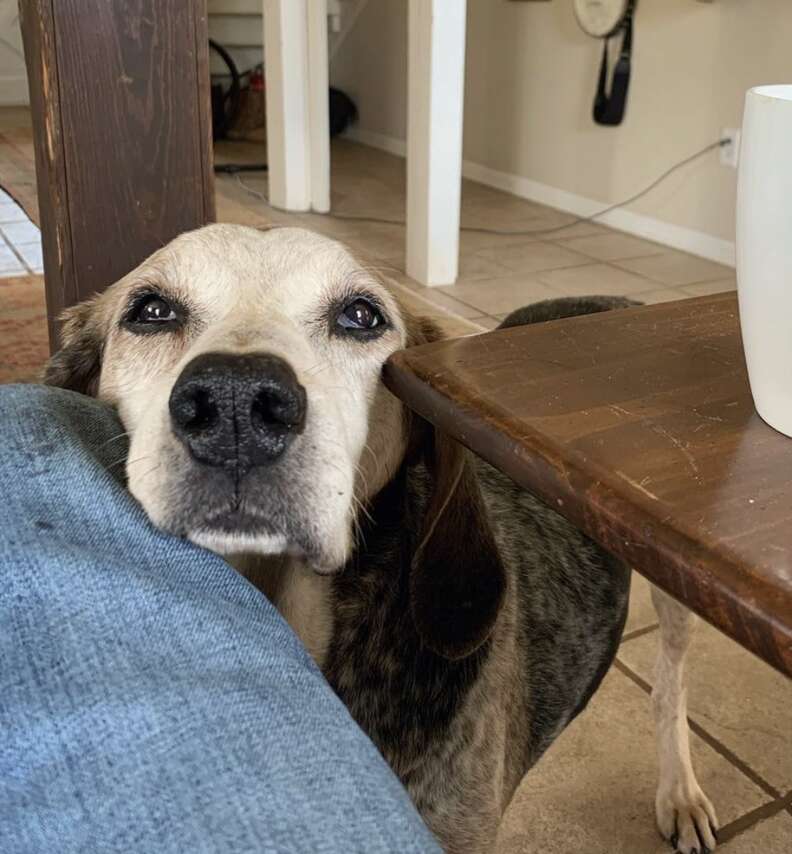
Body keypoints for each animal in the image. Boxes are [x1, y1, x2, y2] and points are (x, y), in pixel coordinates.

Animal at [46, 224, 720, 852]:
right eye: (151, 310)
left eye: (361, 316)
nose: (236, 403)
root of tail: (611, 300)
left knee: (671, 682)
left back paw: (680, 790)